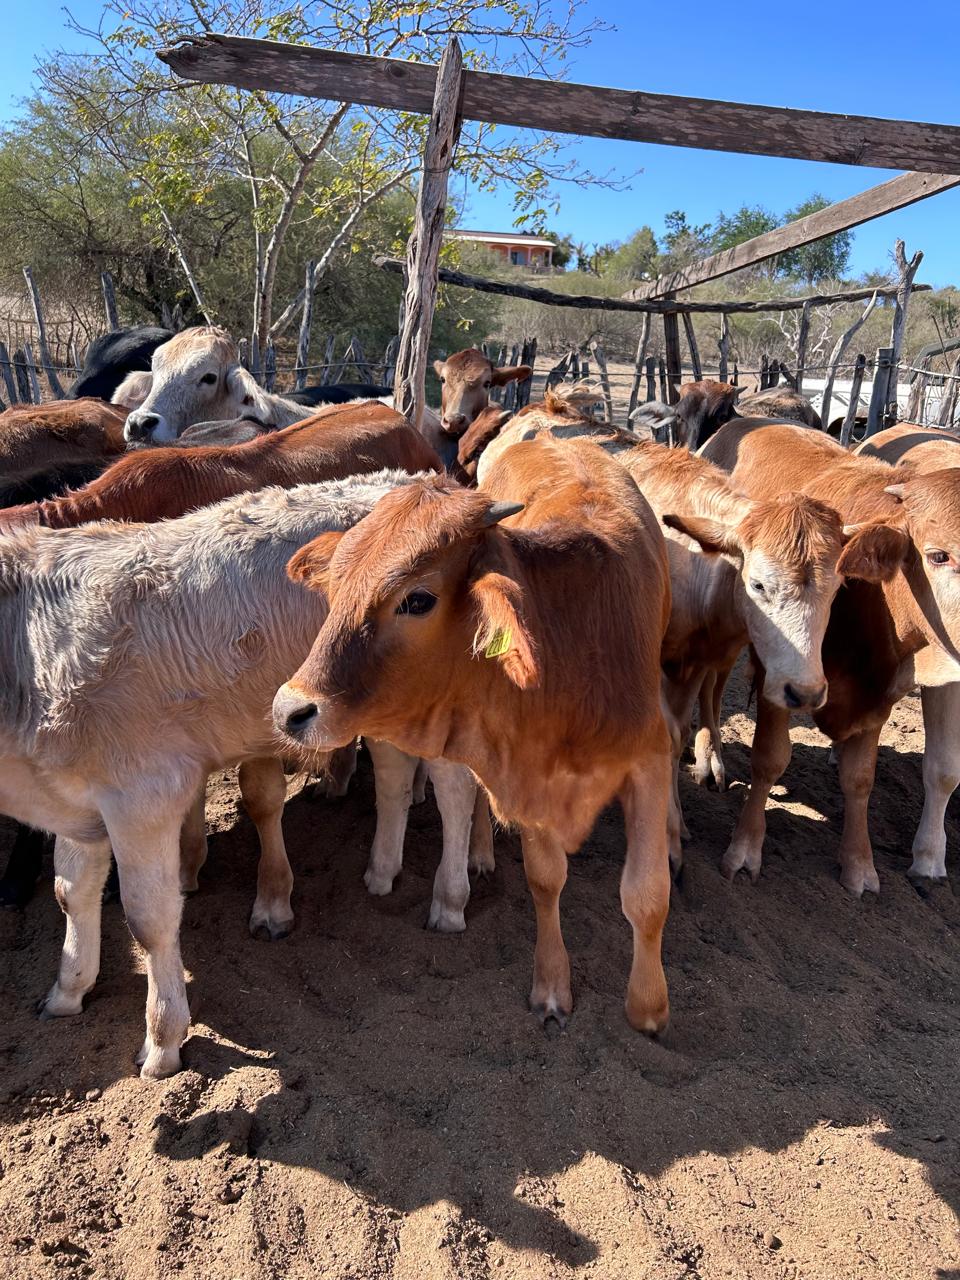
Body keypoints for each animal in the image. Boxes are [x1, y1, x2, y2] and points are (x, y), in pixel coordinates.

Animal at [272, 435, 675, 1034]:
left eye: (417, 599)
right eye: (337, 586)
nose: (290, 709)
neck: (574, 642)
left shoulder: (649, 760)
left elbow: (646, 894)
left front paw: (648, 1006)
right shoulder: (526, 770)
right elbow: (545, 879)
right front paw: (551, 985)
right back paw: (481, 853)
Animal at [701, 417, 960, 890]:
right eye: (938, 555)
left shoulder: (879, 698)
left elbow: (862, 778)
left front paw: (860, 864)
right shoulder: (778, 678)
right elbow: (770, 758)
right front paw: (745, 850)